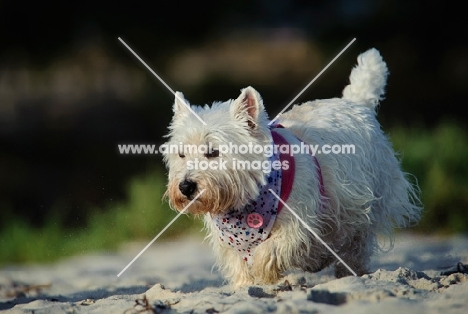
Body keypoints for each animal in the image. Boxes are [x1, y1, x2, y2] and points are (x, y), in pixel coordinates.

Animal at [163, 48, 422, 288]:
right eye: (181, 153)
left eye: (213, 152)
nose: (185, 187)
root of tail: (356, 103)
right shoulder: (228, 239)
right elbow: (239, 263)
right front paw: (245, 285)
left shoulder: (298, 221)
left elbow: (270, 251)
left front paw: (266, 277)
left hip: (366, 198)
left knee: (356, 240)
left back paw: (347, 270)